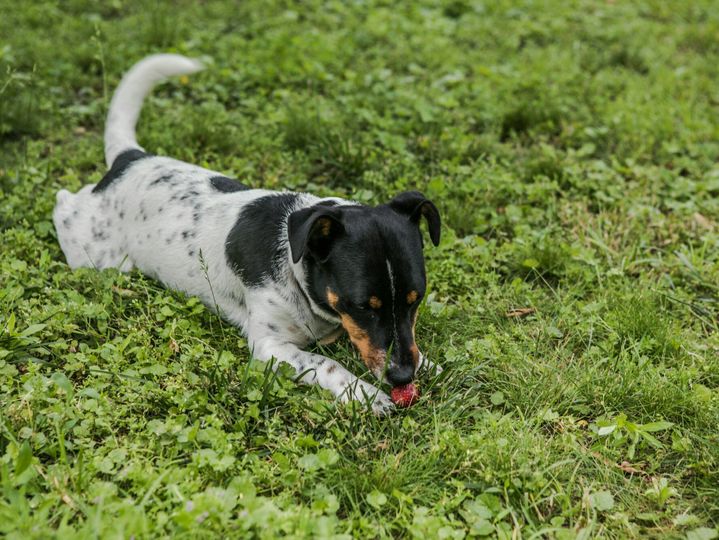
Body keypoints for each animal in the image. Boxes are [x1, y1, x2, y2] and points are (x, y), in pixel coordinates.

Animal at [53, 54, 442, 412]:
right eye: (363, 305)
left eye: (416, 299)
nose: (403, 377)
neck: (296, 267)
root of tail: (131, 159)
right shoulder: (271, 347)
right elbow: (327, 364)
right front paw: (366, 394)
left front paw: (428, 365)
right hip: (97, 253)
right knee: (63, 202)